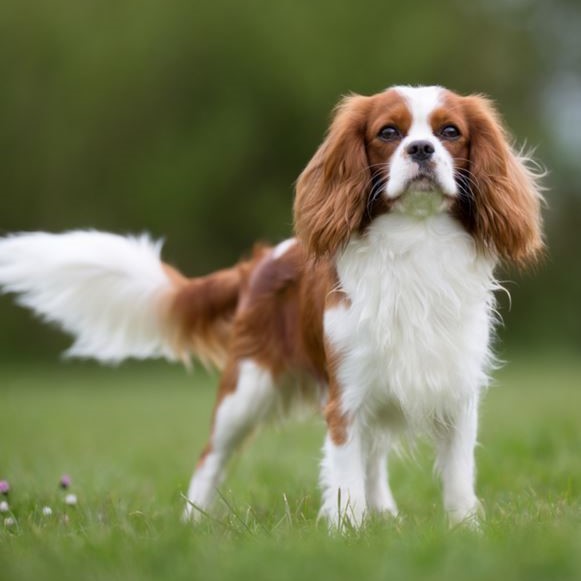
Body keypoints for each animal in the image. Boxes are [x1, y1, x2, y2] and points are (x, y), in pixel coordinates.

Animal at [0, 85, 544, 524]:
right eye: (388, 133)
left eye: (450, 132)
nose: (422, 148)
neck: (417, 240)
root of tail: (260, 262)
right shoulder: (345, 398)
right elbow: (345, 476)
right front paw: (350, 535)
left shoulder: (454, 392)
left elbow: (457, 478)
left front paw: (464, 532)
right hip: (246, 389)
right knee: (210, 457)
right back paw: (192, 524)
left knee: (373, 460)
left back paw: (386, 515)